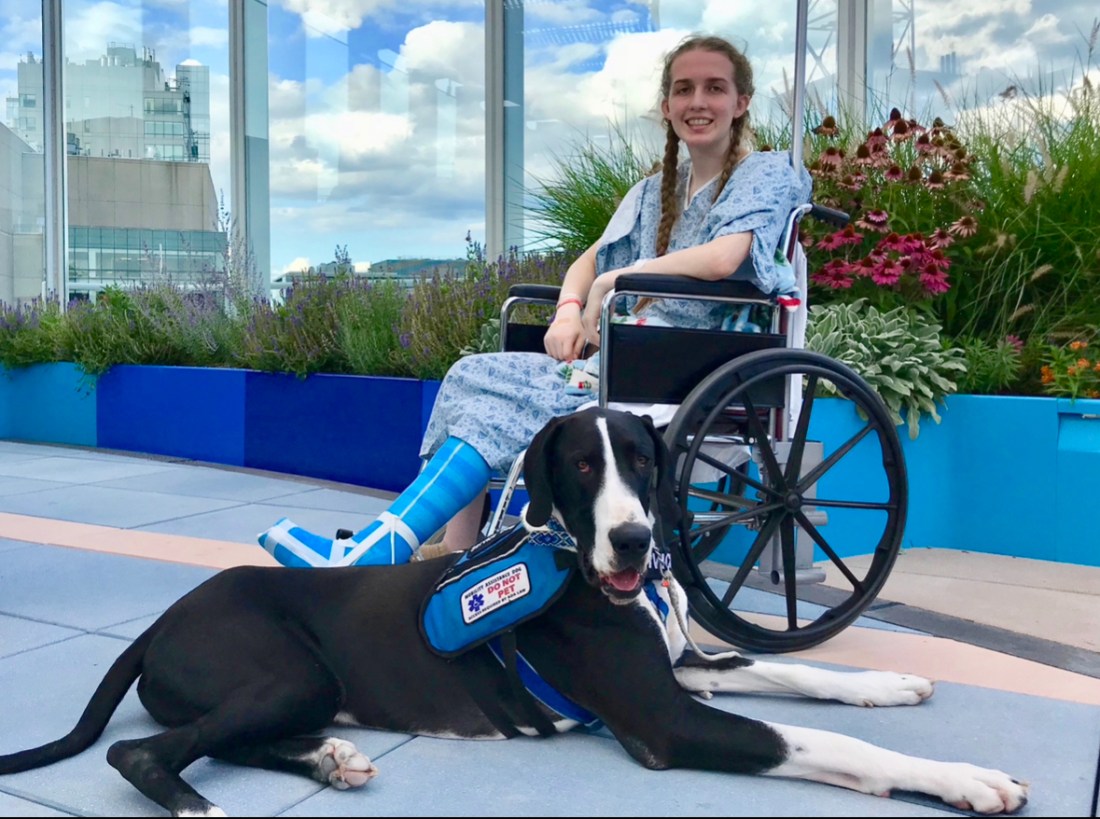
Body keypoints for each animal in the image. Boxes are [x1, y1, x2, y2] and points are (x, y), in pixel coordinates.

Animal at [2, 406, 1029, 813]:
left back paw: (331, 758)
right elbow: (826, 744)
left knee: (227, 738)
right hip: (283, 668)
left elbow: (802, 671)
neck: (576, 563)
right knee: (147, 753)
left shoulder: (689, 665)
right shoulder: (666, 719)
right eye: (578, 466)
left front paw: (887, 678)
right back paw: (206, 804)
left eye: (645, 463)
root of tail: (159, 621)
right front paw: (964, 776)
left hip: (305, 686)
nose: (634, 542)